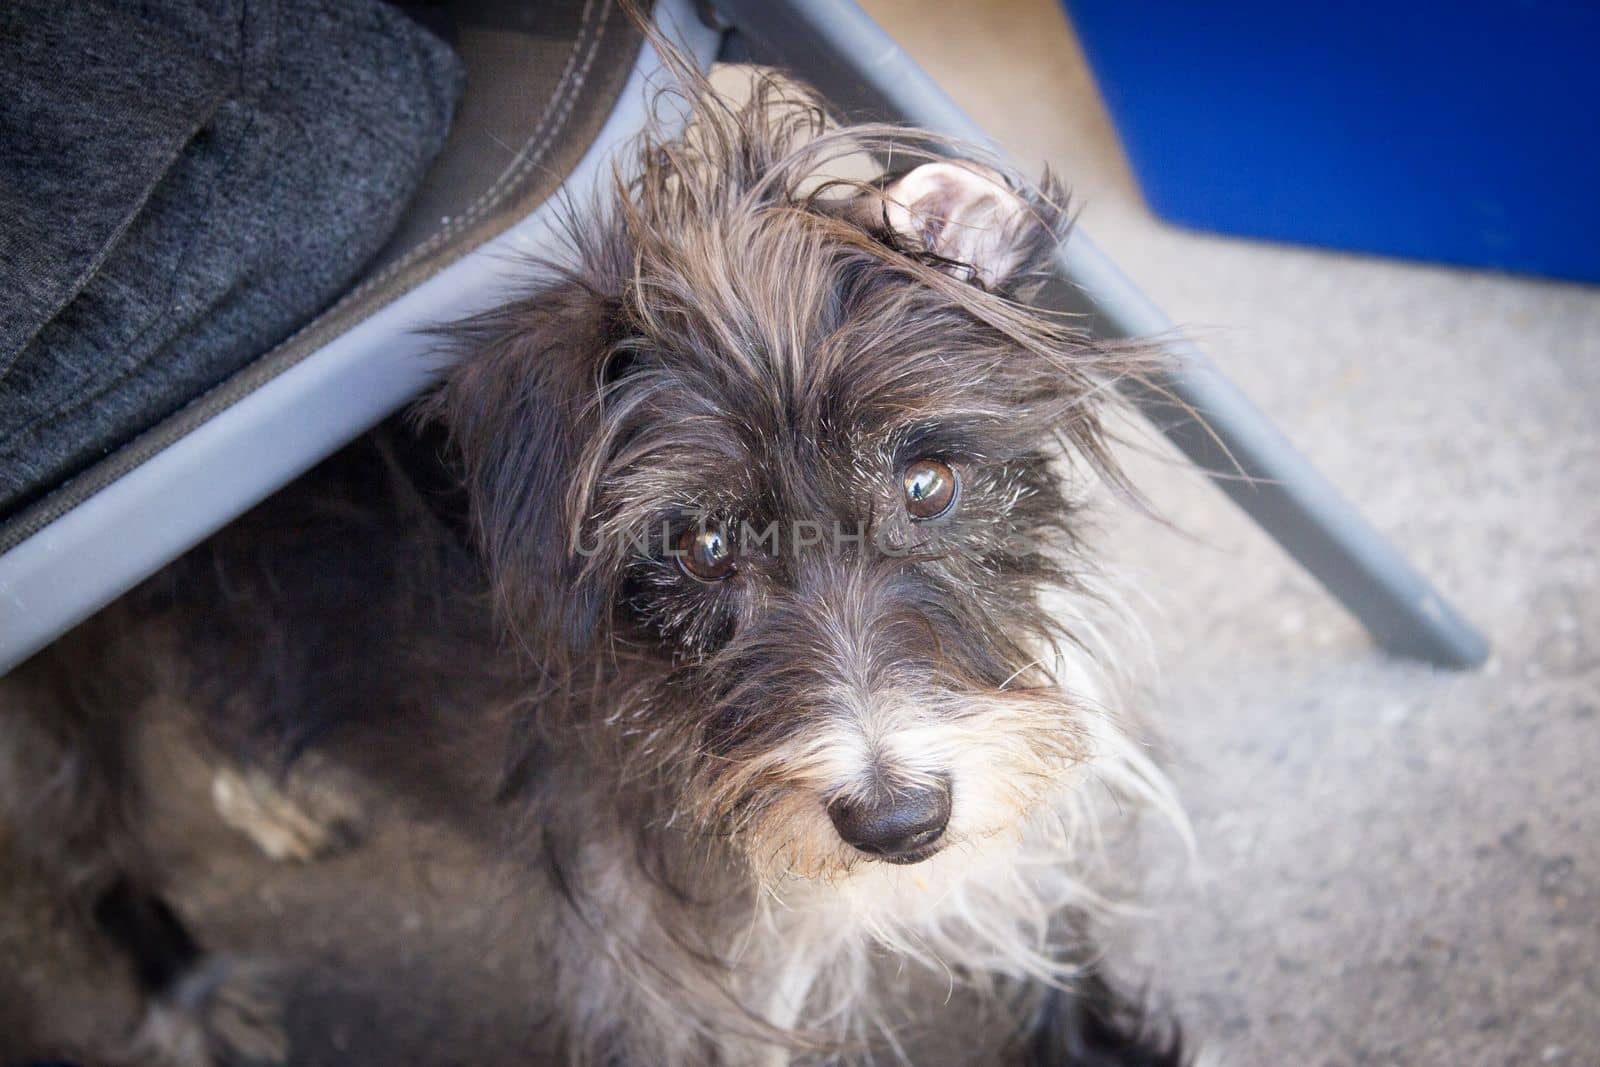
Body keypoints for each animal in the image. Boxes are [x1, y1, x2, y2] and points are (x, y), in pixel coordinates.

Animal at [0, 64, 1190, 1067]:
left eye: (930, 482)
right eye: (702, 547)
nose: (899, 826)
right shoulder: (661, 973)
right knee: (81, 835)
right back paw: (187, 989)